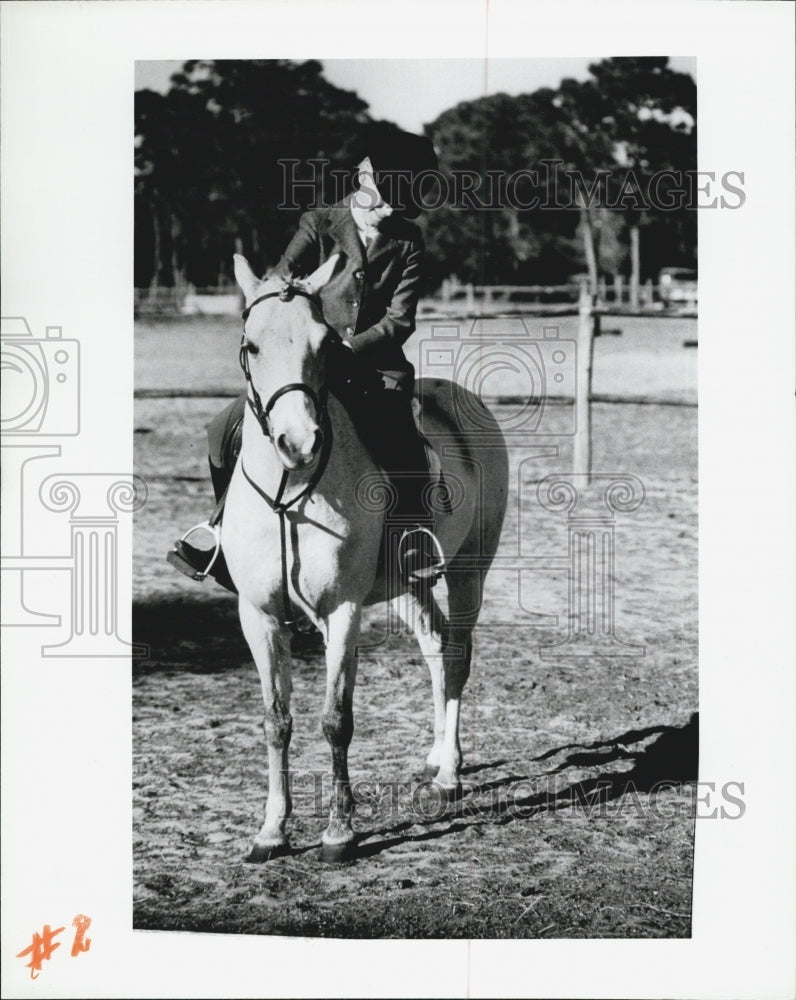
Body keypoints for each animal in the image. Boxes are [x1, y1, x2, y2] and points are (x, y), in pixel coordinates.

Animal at [222, 254, 510, 864]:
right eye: (251, 346)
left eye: (325, 346)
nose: (298, 443)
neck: (292, 491)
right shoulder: (258, 616)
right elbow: (275, 721)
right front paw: (270, 831)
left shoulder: (342, 611)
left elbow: (336, 720)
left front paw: (339, 832)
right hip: (408, 584)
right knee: (435, 647)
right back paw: (438, 754)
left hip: (468, 572)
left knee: (456, 655)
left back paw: (449, 774)